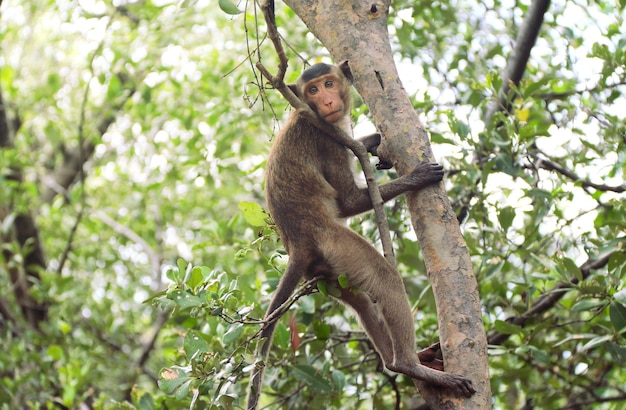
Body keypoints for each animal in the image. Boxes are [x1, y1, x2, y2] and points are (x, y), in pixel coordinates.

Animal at [244, 60, 472, 406]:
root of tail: (297, 246)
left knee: (362, 300)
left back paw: (398, 361)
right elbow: (348, 201)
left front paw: (374, 140)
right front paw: (417, 177)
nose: (327, 101)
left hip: (327, 272)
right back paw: (409, 365)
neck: (306, 113)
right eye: (312, 90)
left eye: (328, 84)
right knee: (385, 279)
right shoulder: (327, 140)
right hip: (337, 244)